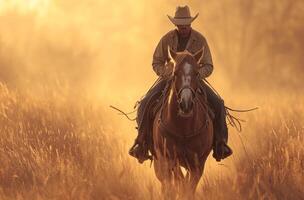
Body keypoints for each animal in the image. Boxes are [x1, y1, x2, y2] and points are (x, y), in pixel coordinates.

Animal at [152, 47, 214, 199]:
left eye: (196, 73)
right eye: (174, 73)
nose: (186, 104)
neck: (183, 129)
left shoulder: (198, 164)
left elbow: (188, 187)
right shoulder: (169, 158)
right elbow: (178, 182)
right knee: (167, 183)